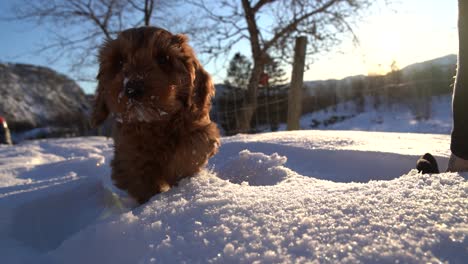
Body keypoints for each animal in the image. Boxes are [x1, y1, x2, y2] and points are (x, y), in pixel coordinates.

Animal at [93, 26, 221, 204]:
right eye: (119, 62)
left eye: (164, 59)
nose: (132, 88)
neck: (155, 123)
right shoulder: (126, 152)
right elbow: (137, 173)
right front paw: (151, 202)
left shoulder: (202, 128)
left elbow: (192, 147)